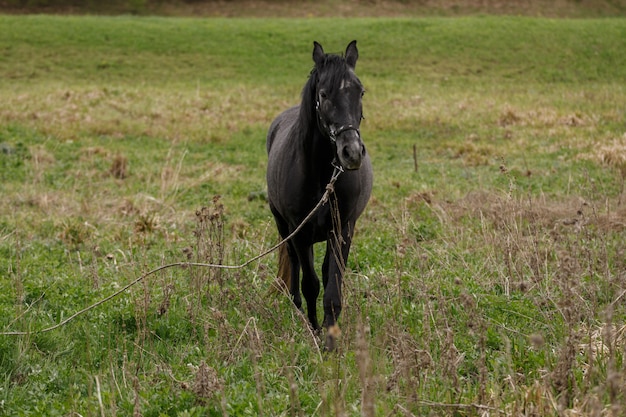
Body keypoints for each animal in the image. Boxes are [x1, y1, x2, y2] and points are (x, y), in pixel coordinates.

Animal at [266, 41, 372, 348]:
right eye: (324, 94)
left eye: (360, 91)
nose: (351, 153)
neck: (323, 174)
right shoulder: (300, 232)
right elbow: (310, 284)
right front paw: (313, 330)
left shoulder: (343, 229)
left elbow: (333, 284)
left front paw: (331, 334)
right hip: (285, 227)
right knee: (295, 265)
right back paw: (298, 309)